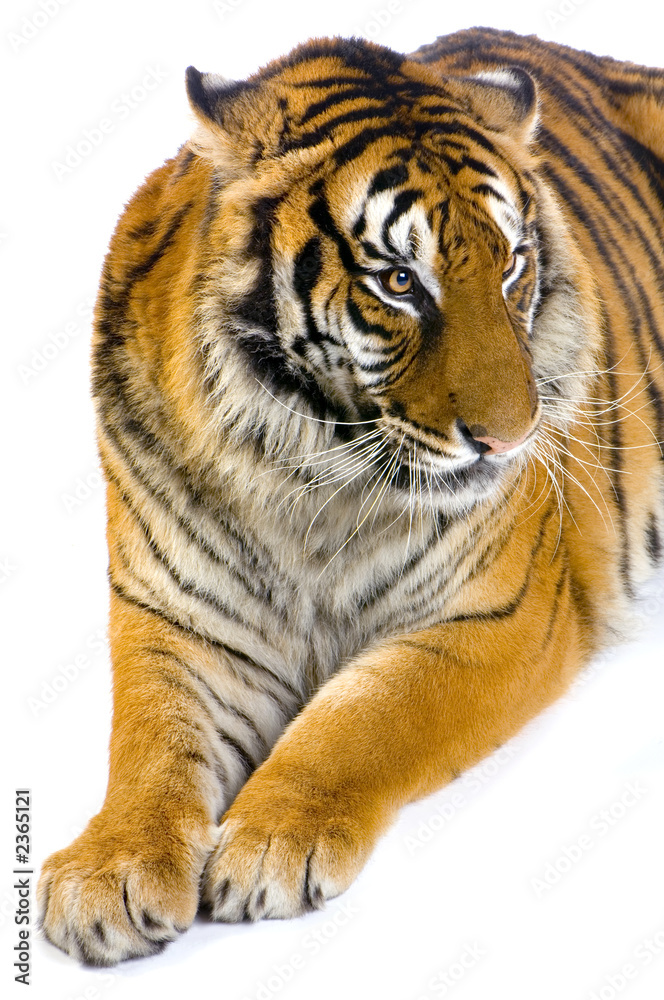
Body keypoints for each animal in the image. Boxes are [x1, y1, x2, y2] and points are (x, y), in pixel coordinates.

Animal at [38, 26, 664, 965]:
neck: (310, 476)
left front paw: (269, 843)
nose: (511, 439)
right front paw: (108, 870)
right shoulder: (175, 618)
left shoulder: (498, 615)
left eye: (512, 265)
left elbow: (361, 720)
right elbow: (151, 742)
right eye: (399, 282)